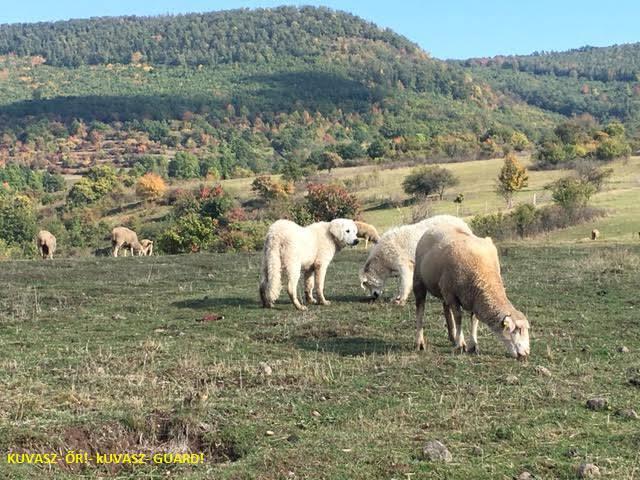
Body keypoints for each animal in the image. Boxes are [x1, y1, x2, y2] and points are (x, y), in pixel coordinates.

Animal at [416, 223, 528, 358]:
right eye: (516, 330)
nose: (526, 353)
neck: (483, 273)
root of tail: (441, 225)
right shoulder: (453, 295)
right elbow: (458, 318)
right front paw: (461, 344)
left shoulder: (475, 298)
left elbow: (474, 320)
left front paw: (473, 345)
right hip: (420, 280)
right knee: (420, 309)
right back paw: (420, 343)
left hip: (444, 290)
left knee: (446, 308)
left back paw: (452, 337)